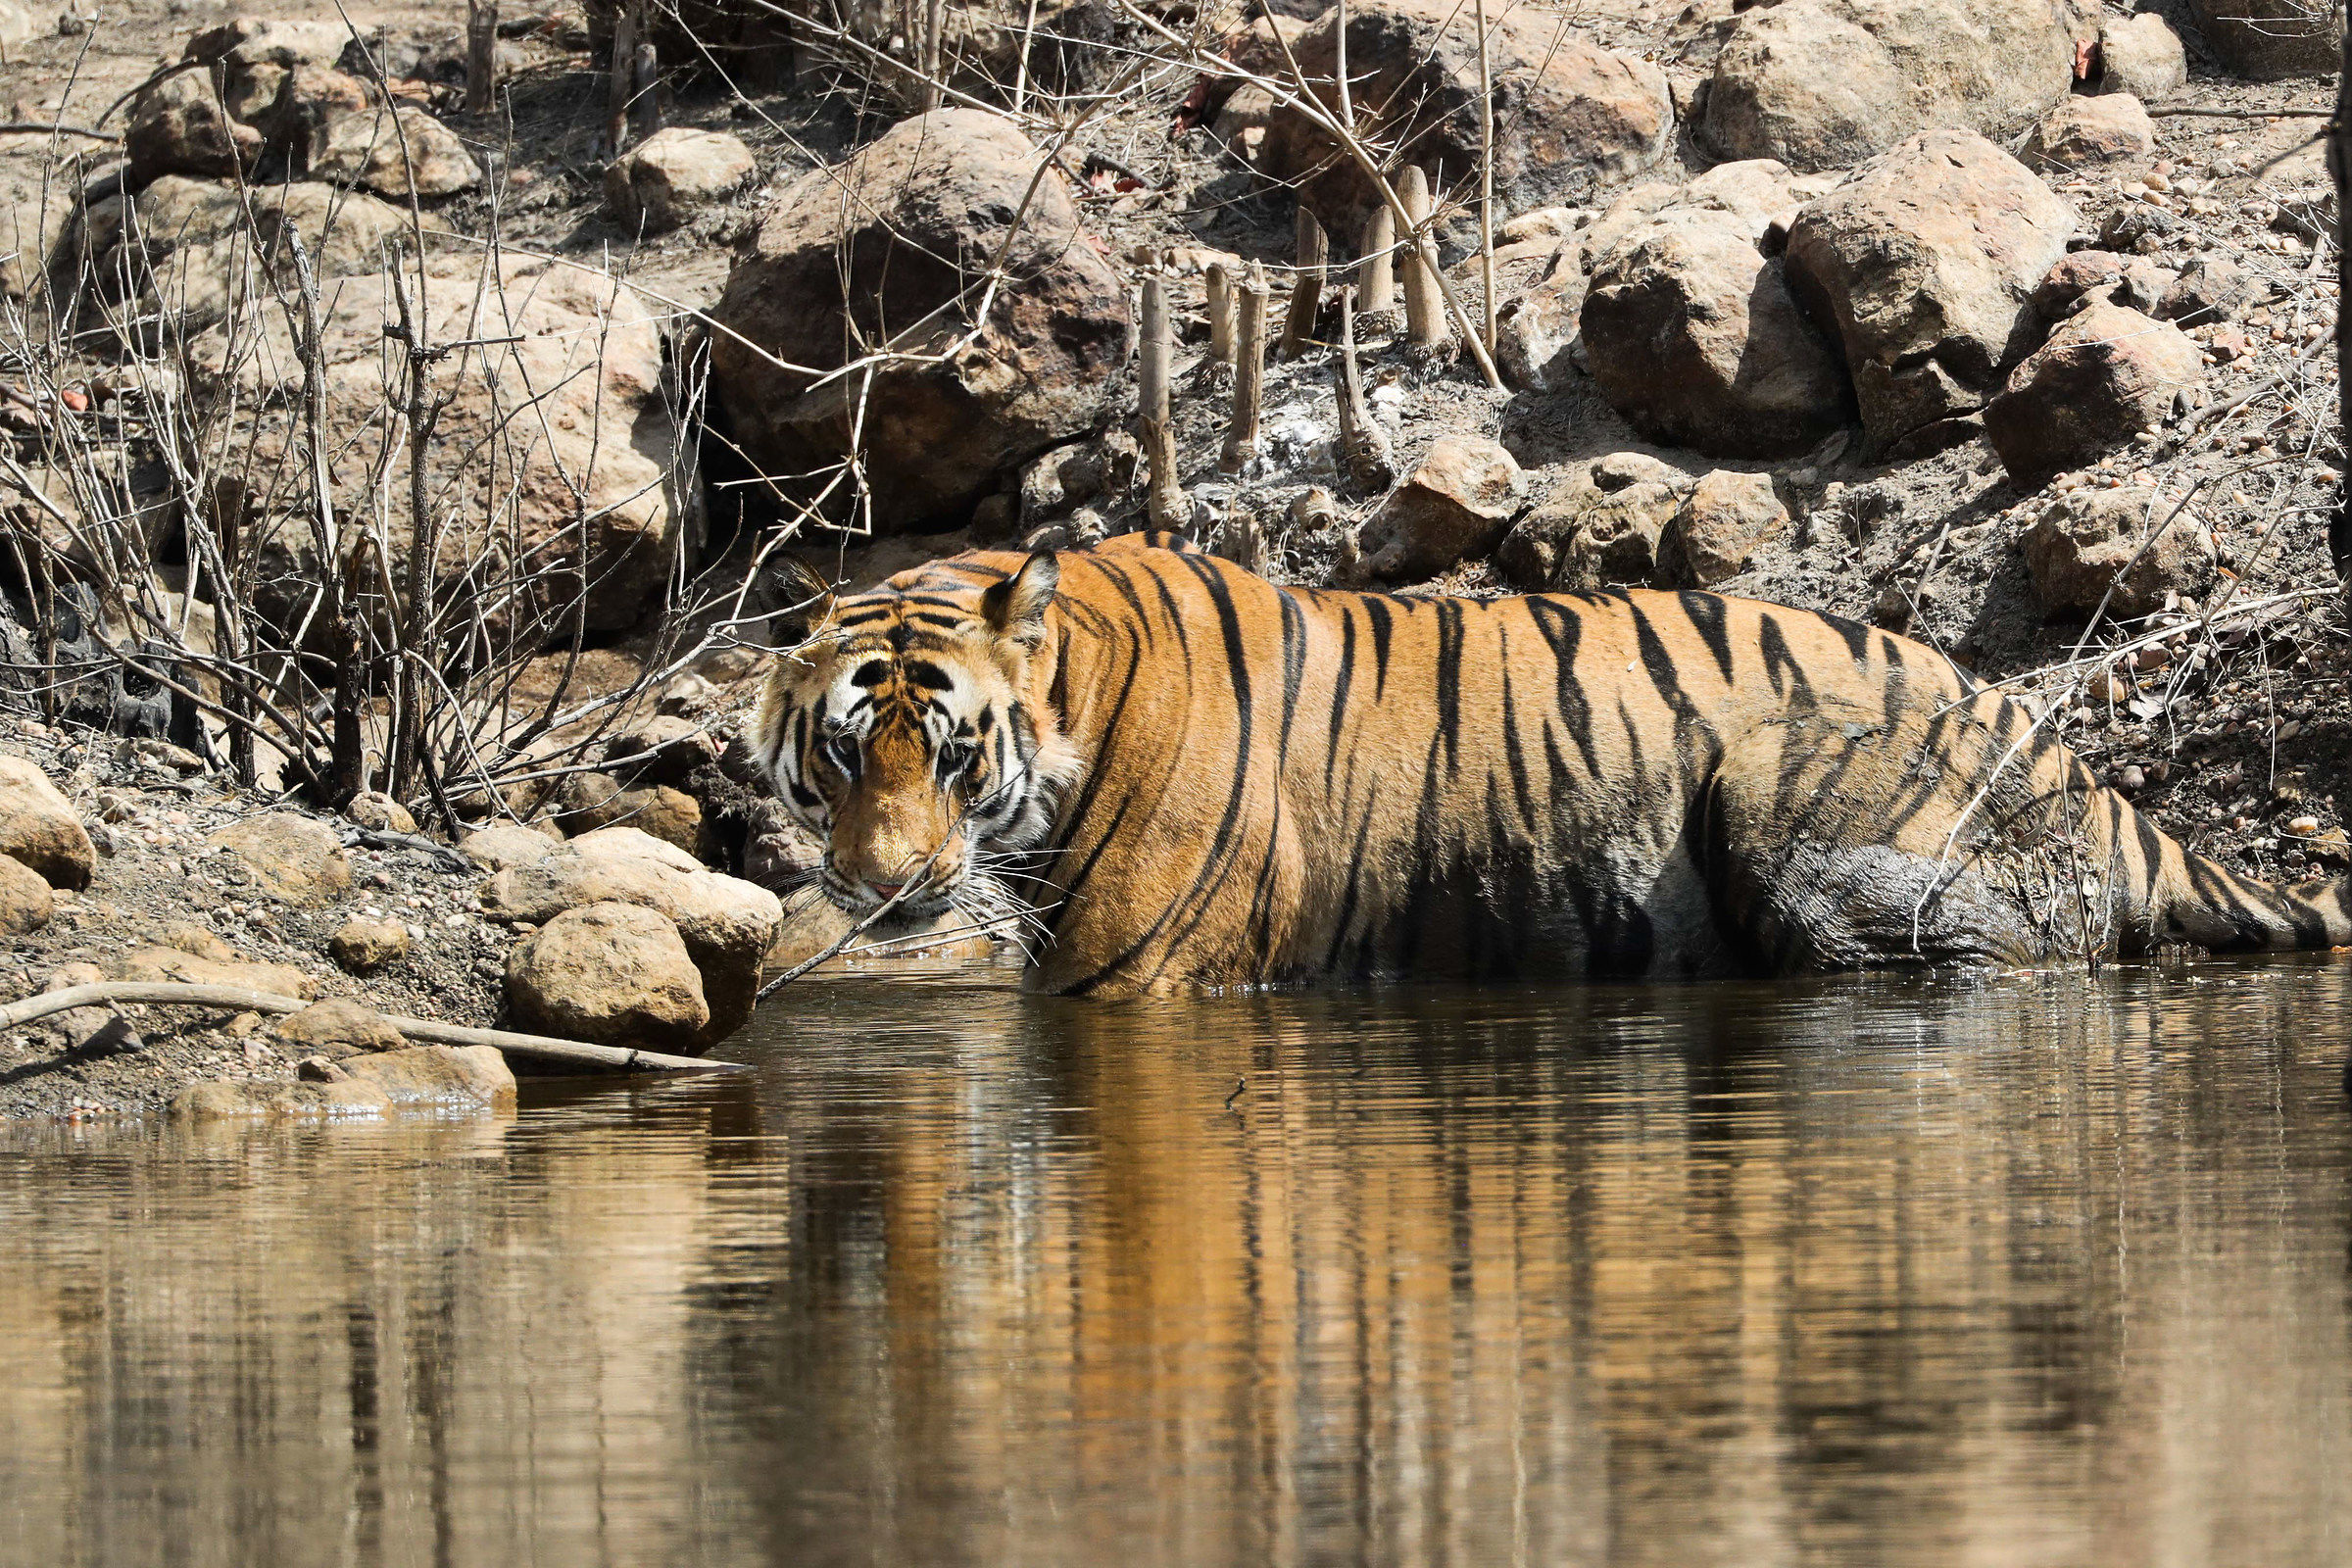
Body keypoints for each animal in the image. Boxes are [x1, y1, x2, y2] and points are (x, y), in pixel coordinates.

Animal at [751, 530, 2352, 996]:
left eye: (952, 756)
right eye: (836, 759)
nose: (884, 892)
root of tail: (2077, 759)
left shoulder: (1132, 988)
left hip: (1787, 795)